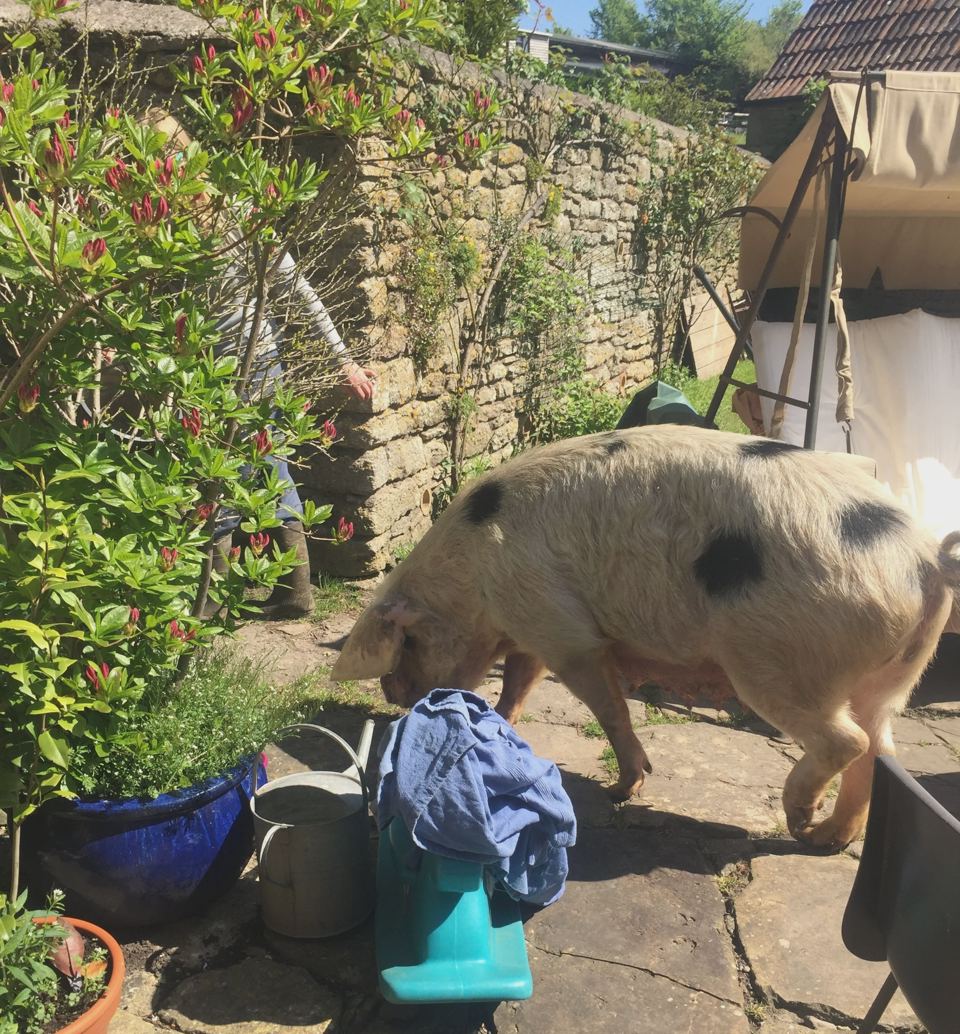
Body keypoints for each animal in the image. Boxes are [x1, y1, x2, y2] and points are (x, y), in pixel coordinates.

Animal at [332, 425, 960, 850]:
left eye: (407, 645)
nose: (390, 694)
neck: (472, 578)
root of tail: (926, 561)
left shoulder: (562, 627)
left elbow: (607, 706)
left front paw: (622, 790)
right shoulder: (534, 625)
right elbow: (519, 682)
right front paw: (503, 721)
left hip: (781, 659)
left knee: (846, 740)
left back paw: (797, 820)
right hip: (893, 675)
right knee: (881, 749)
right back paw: (828, 839)